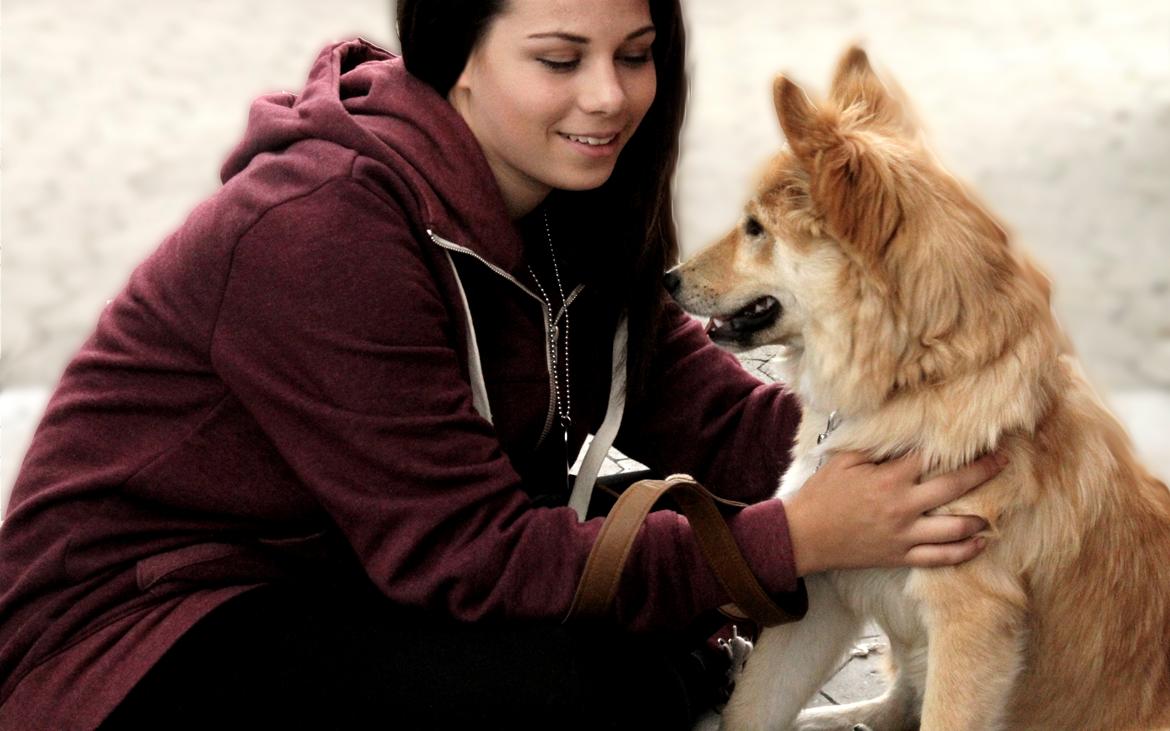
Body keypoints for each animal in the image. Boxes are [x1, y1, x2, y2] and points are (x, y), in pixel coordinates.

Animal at [669, 48, 1170, 725]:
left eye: (754, 228)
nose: (667, 279)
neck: (918, 382)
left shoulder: (969, 628)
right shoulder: (820, 582)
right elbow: (751, 709)